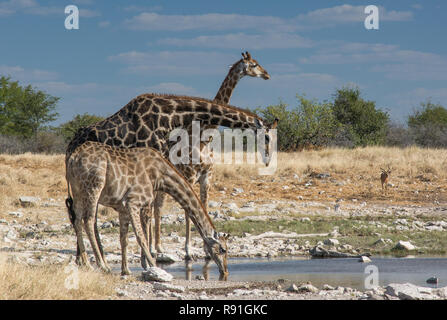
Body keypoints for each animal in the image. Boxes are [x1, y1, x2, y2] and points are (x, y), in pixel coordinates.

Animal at [65, 141, 231, 278]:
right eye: (223, 249)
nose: (225, 271)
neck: (160, 175)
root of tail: (73, 158)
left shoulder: (123, 208)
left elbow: (124, 239)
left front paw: (126, 270)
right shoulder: (133, 202)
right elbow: (141, 236)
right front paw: (152, 265)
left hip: (78, 191)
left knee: (77, 220)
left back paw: (87, 264)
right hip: (94, 186)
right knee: (88, 220)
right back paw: (103, 266)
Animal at [150, 50, 272, 260]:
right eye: (254, 64)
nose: (267, 75)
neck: (204, 138)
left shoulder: (207, 177)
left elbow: (204, 208)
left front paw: (206, 249)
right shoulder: (190, 177)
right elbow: (188, 212)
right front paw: (188, 250)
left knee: (156, 206)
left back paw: (157, 247)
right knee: (154, 208)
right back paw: (154, 248)